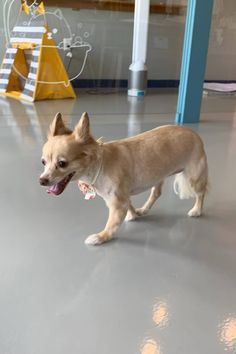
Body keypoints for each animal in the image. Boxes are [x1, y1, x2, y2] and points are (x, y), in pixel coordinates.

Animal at [40, 112, 208, 245]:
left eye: (62, 163)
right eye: (43, 162)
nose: (42, 180)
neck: (100, 164)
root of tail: (192, 132)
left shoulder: (117, 202)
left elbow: (112, 224)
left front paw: (101, 237)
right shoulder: (122, 197)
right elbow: (129, 205)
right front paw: (133, 215)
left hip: (194, 177)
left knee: (201, 193)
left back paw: (197, 210)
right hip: (158, 176)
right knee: (156, 193)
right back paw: (144, 209)